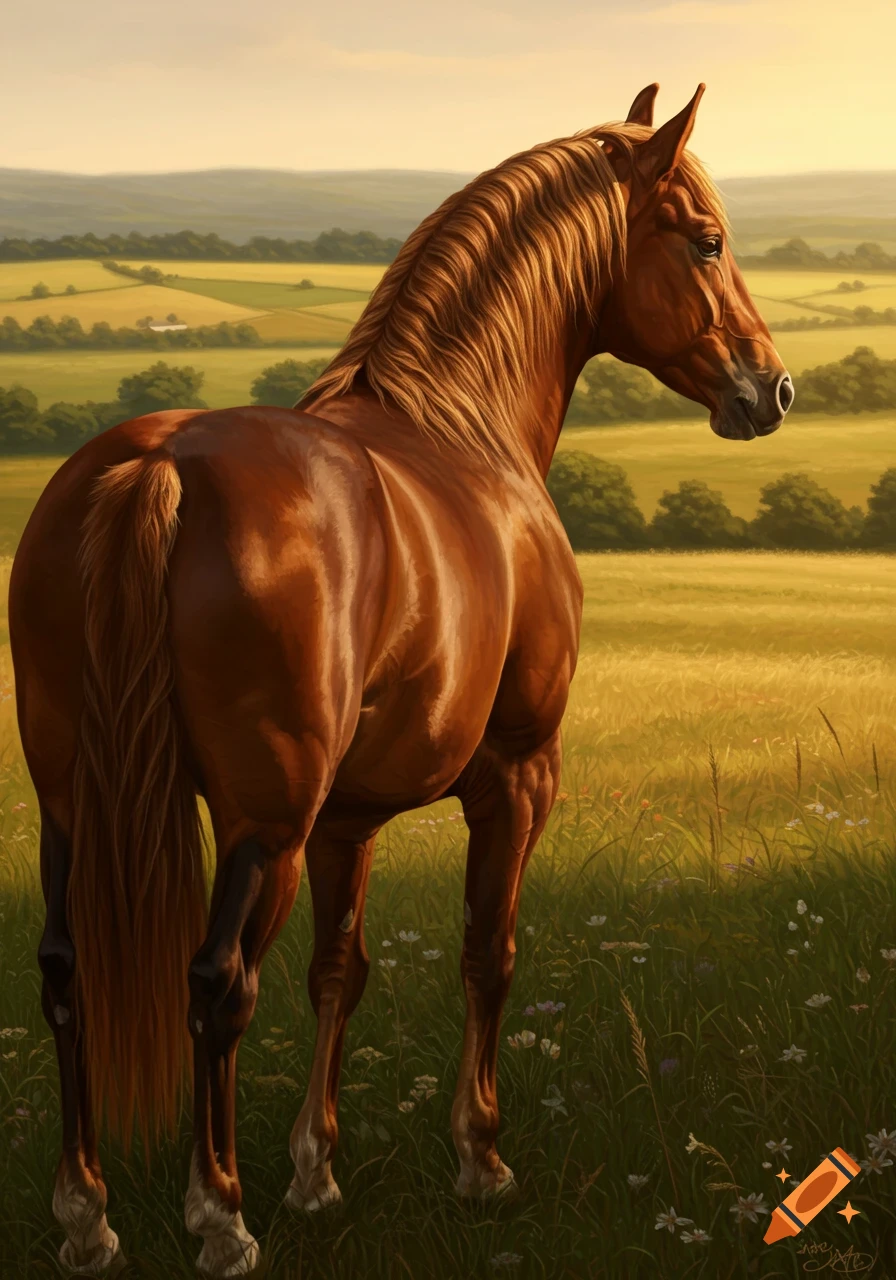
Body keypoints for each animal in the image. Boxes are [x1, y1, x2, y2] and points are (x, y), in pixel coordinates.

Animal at [9, 82, 793, 1277]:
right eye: (704, 239)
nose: (772, 387)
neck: (460, 429)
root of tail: (158, 468)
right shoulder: (515, 776)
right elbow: (486, 951)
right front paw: (481, 1160)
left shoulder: (348, 818)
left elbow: (340, 968)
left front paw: (316, 1173)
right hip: (262, 823)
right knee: (216, 984)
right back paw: (218, 1214)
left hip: (77, 801)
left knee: (67, 972)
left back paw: (87, 1214)